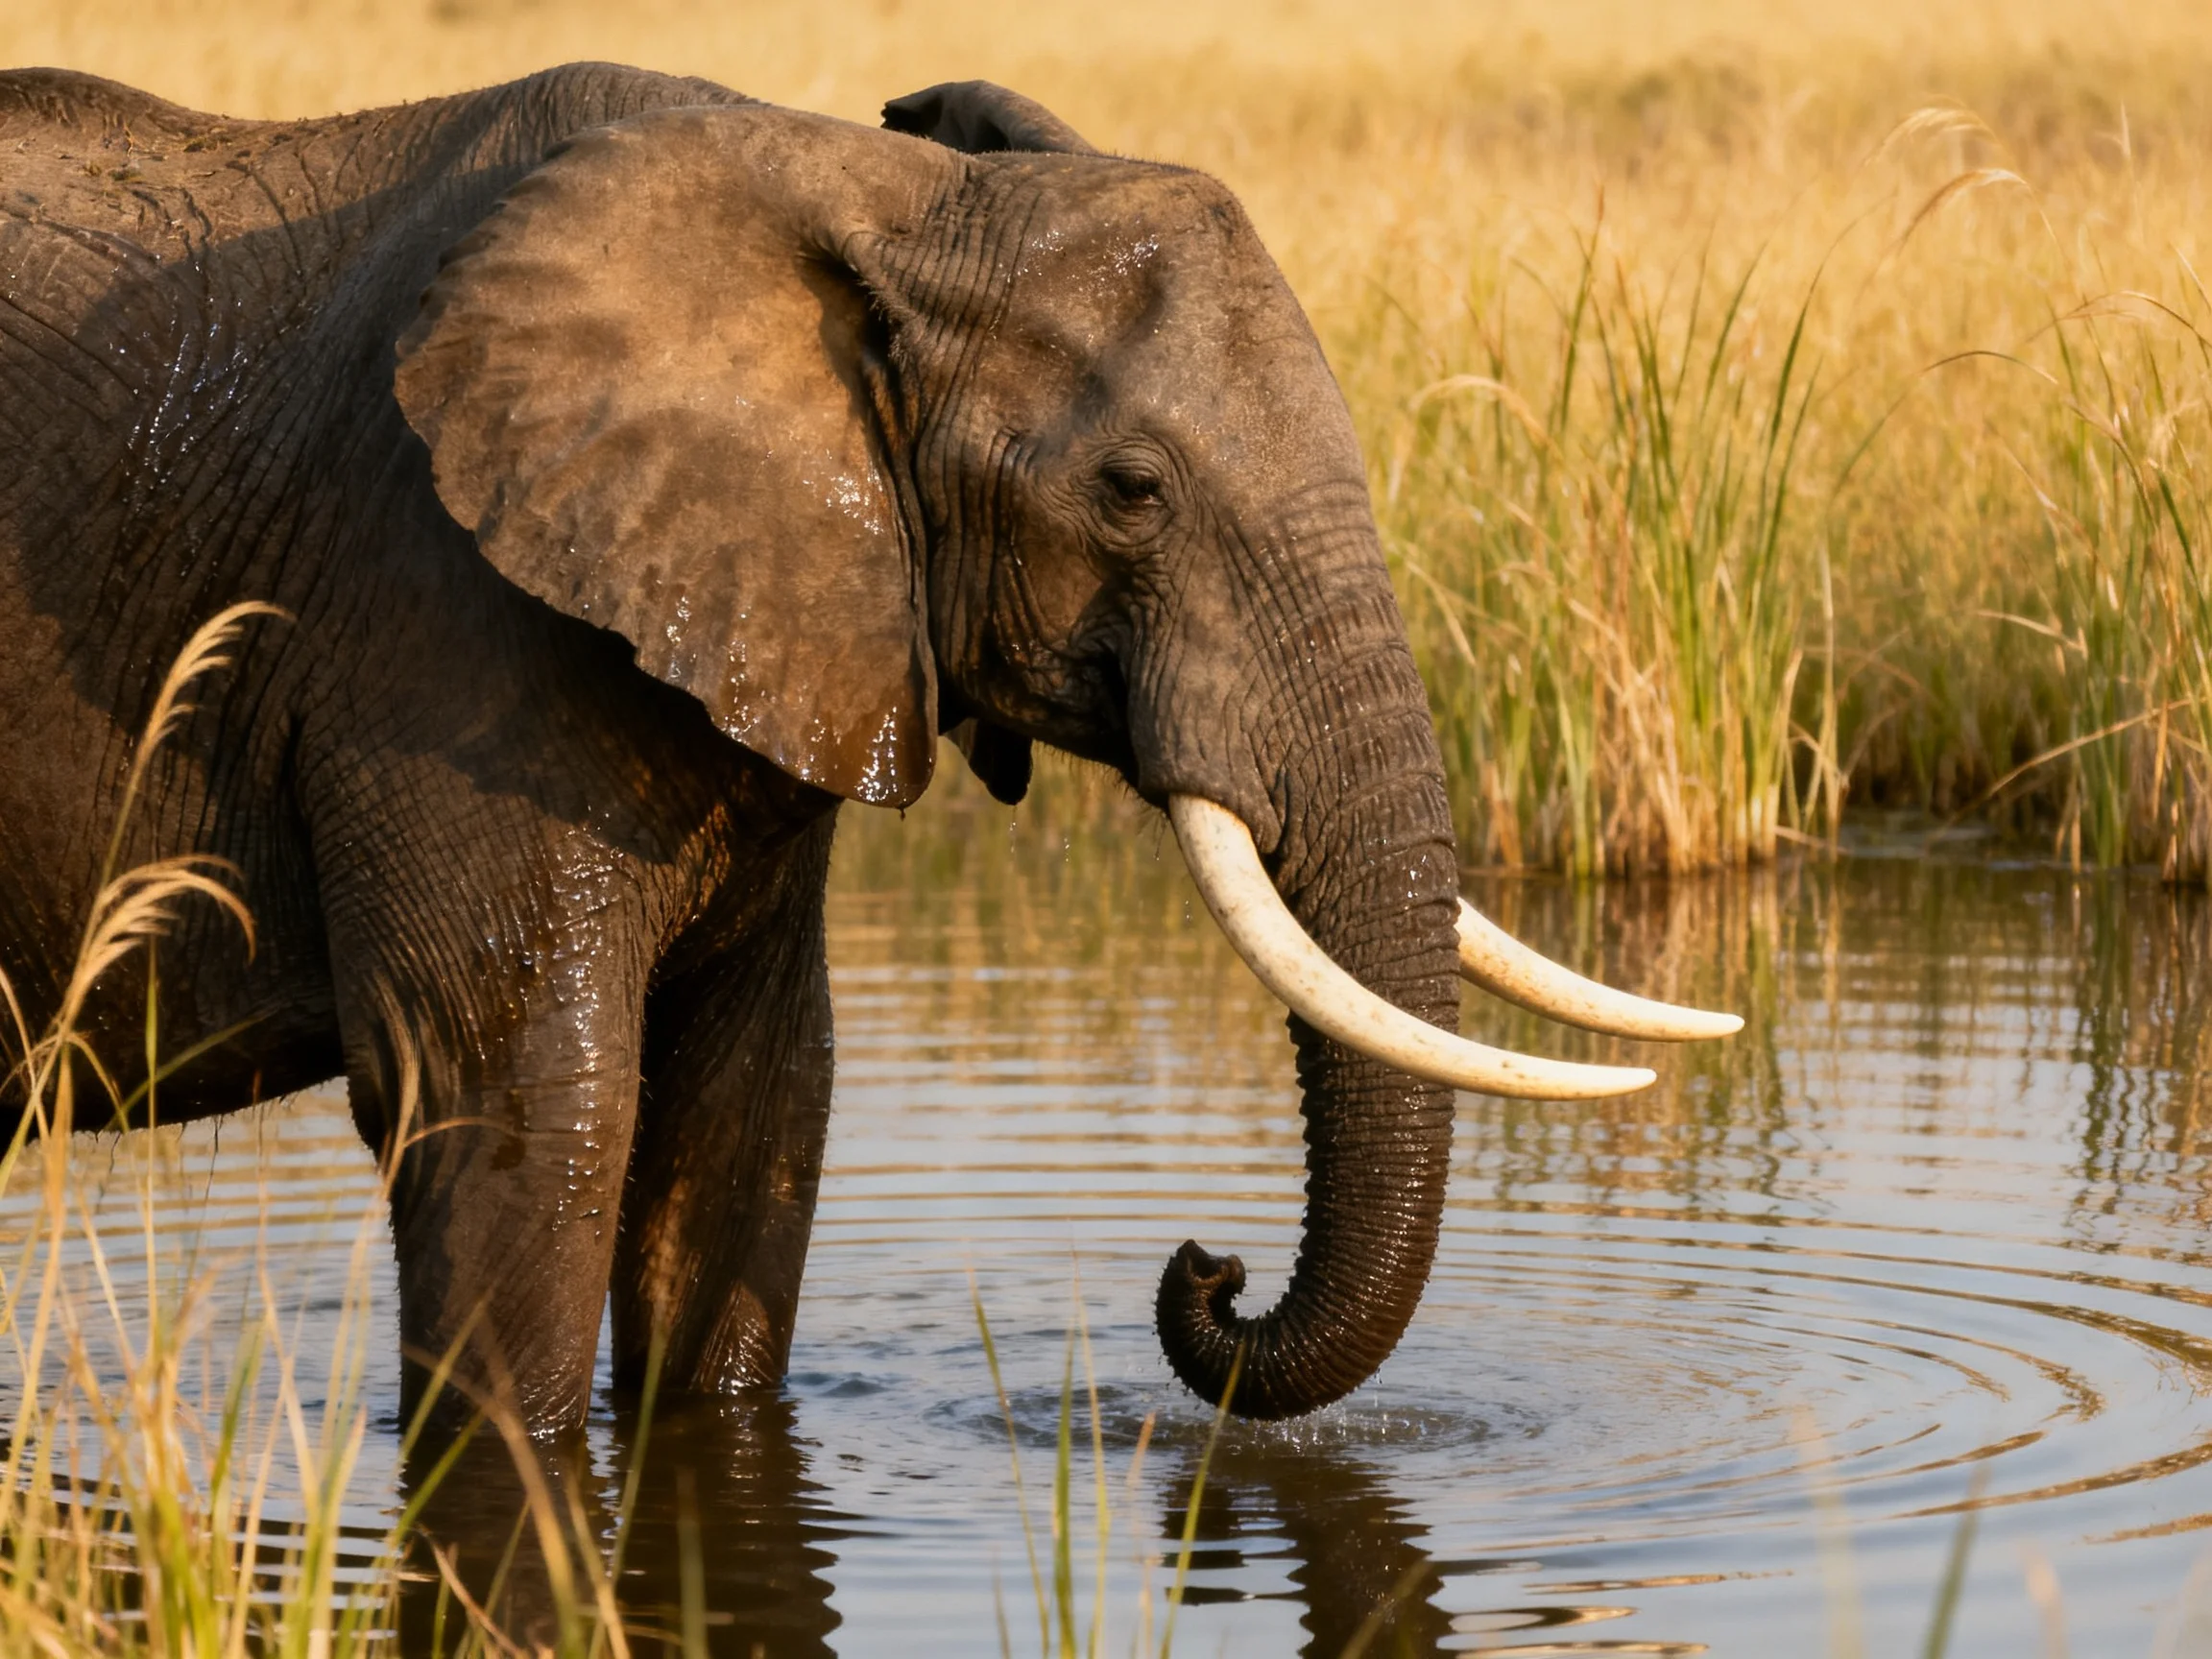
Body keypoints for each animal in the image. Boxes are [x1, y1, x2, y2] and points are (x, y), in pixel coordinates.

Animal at [0, 63, 1739, 1434]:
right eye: (1132, 491)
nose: (1207, 1263)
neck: (875, 195)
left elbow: (758, 1109)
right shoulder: (444, 625)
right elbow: (525, 1110)